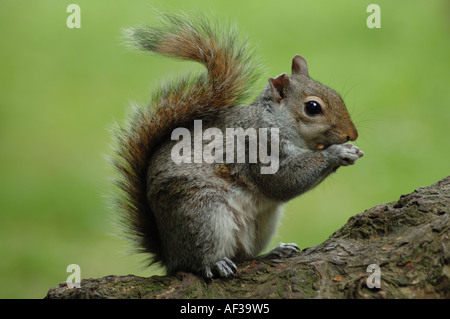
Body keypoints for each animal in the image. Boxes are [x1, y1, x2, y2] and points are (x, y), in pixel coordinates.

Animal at [112, 12, 362, 278]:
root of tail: (170, 256)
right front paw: (338, 153)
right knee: (198, 260)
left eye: (336, 94)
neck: (275, 121)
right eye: (312, 107)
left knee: (245, 256)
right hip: (204, 215)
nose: (352, 134)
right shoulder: (256, 149)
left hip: (261, 224)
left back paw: (274, 252)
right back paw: (214, 264)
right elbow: (282, 182)